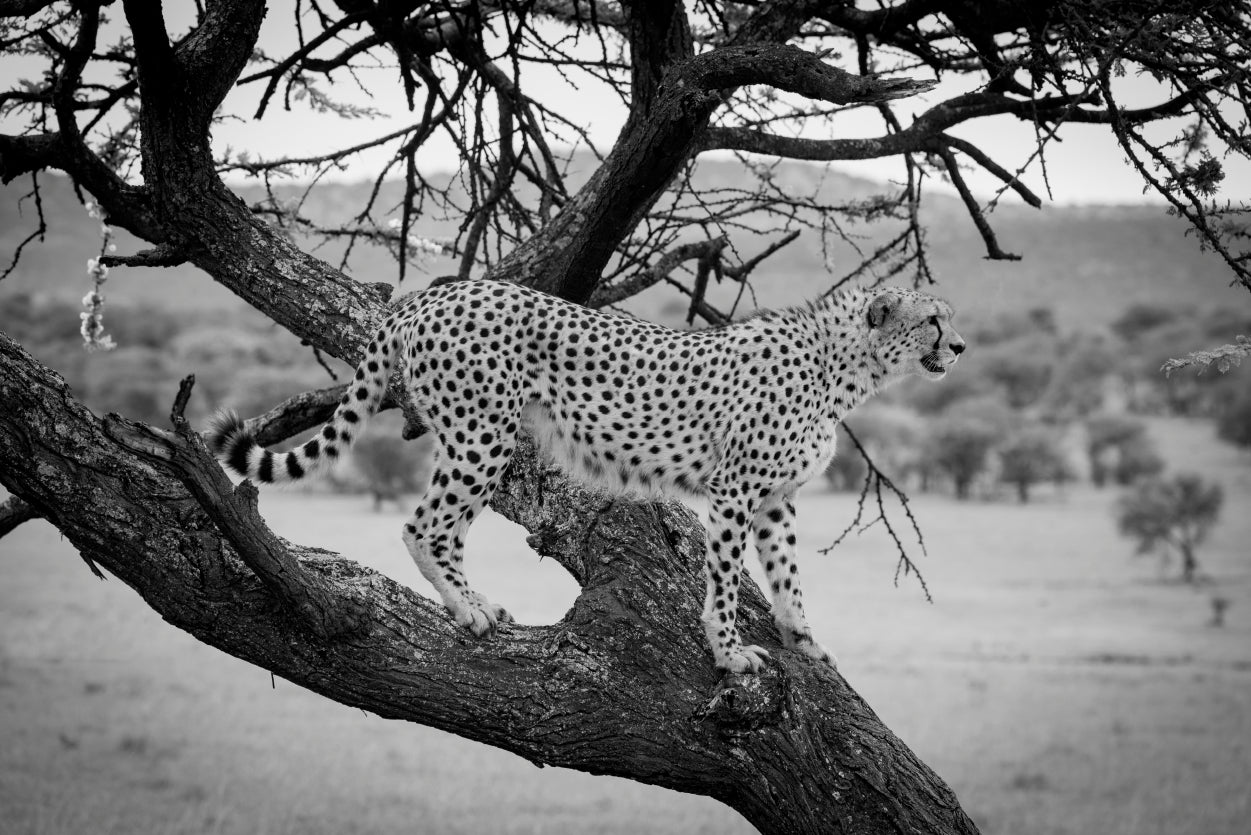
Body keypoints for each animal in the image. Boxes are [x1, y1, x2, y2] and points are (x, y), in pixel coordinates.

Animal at [208, 279, 965, 673]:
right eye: (932, 320)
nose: (959, 346)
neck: (844, 366)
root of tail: (434, 295)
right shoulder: (733, 493)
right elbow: (724, 580)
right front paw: (727, 652)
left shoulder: (776, 499)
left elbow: (788, 577)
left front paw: (805, 640)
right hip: (481, 435)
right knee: (425, 525)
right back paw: (465, 608)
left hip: (477, 437)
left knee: (442, 527)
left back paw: (477, 602)